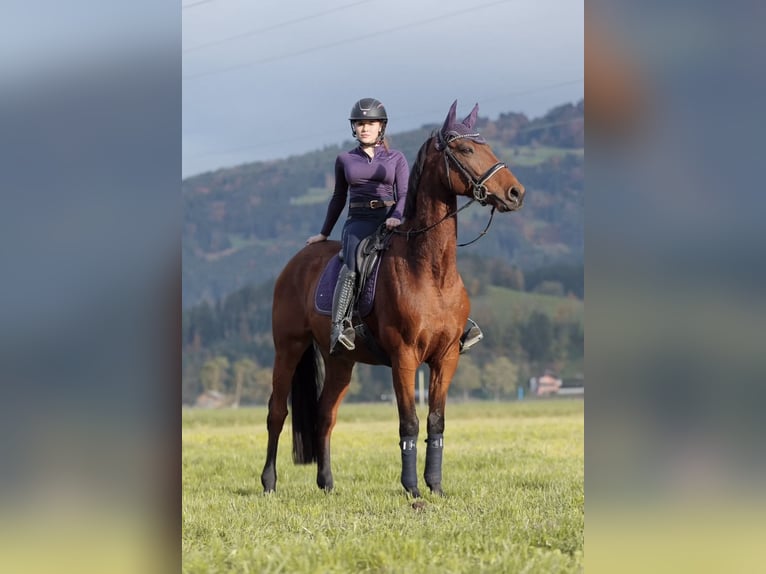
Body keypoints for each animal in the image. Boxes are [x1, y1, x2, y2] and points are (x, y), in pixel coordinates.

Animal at [261, 100, 525, 497]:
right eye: (465, 149)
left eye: (487, 145)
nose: (515, 193)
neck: (432, 270)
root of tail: (297, 261)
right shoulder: (404, 356)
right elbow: (409, 422)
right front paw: (412, 488)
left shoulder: (446, 357)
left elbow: (436, 421)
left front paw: (435, 486)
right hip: (289, 347)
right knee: (277, 411)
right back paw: (269, 482)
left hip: (340, 361)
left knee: (325, 415)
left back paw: (327, 483)